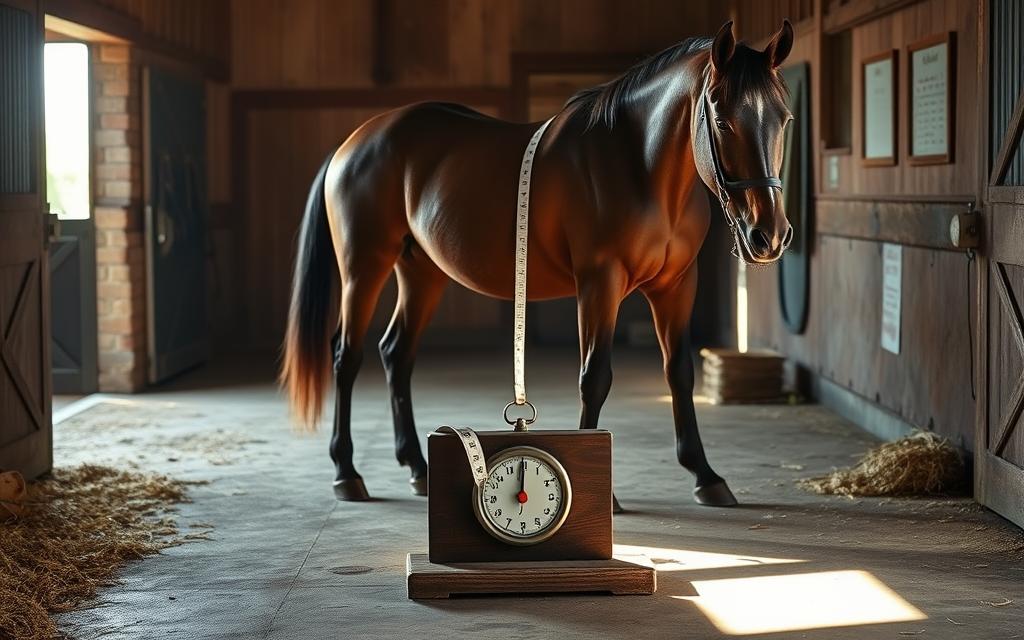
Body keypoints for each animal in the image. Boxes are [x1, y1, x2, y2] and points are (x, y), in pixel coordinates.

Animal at [282, 19, 798, 505]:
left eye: (785, 119)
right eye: (722, 120)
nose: (769, 236)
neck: (637, 164)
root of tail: (354, 142)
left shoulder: (676, 286)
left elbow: (680, 373)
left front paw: (706, 476)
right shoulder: (599, 282)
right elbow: (595, 377)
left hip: (421, 272)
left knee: (396, 352)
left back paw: (418, 468)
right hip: (363, 267)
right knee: (346, 355)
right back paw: (347, 473)